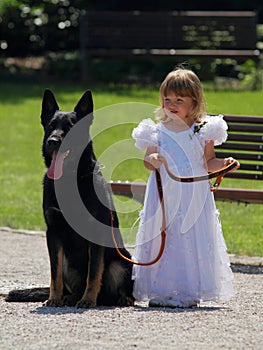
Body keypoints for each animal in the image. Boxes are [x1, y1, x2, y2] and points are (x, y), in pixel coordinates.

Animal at [5, 89, 135, 308]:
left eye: (70, 127)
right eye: (51, 126)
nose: (52, 141)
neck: (69, 178)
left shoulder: (95, 234)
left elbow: (94, 272)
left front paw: (88, 300)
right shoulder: (53, 234)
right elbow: (54, 274)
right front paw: (54, 298)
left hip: (122, 260)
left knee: (114, 285)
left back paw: (119, 298)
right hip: (67, 261)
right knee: (69, 282)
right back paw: (69, 297)